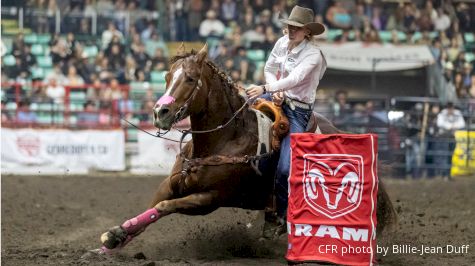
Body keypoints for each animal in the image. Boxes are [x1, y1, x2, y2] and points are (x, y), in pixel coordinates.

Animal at [98, 42, 396, 252]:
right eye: (167, 76)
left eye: (191, 78)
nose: (160, 112)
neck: (223, 141)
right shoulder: (170, 185)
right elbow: (152, 208)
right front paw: (115, 236)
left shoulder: (209, 199)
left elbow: (163, 207)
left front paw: (114, 235)